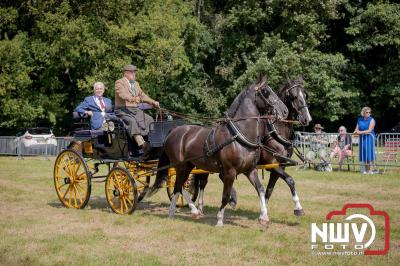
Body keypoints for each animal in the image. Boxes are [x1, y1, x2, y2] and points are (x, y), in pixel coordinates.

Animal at [147, 75, 288, 227]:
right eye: (266, 91)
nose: (285, 111)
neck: (239, 135)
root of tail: (172, 131)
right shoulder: (230, 172)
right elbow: (225, 195)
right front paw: (220, 219)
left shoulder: (250, 170)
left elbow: (260, 189)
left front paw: (264, 217)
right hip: (180, 166)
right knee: (178, 185)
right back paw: (183, 211)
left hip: (189, 165)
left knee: (179, 186)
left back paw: (184, 212)